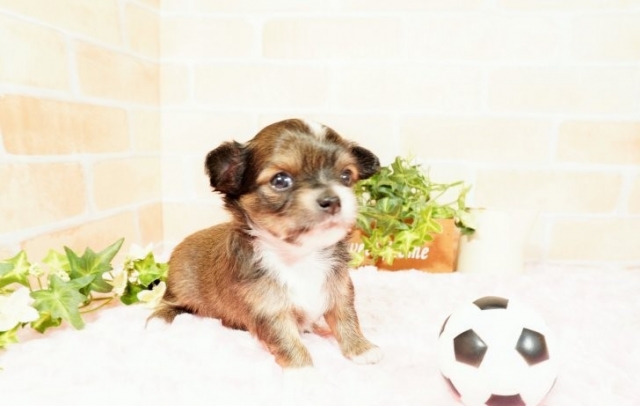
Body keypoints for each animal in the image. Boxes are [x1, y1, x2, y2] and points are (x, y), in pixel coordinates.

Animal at [150, 119, 382, 369]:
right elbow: (289, 343)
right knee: (167, 303)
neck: (301, 256)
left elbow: (346, 319)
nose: (332, 200)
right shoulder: (269, 310)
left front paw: (361, 349)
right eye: (280, 181)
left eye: (346, 176)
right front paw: (304, 371)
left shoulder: (340, 290)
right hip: (179, 287)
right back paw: (157, 322)